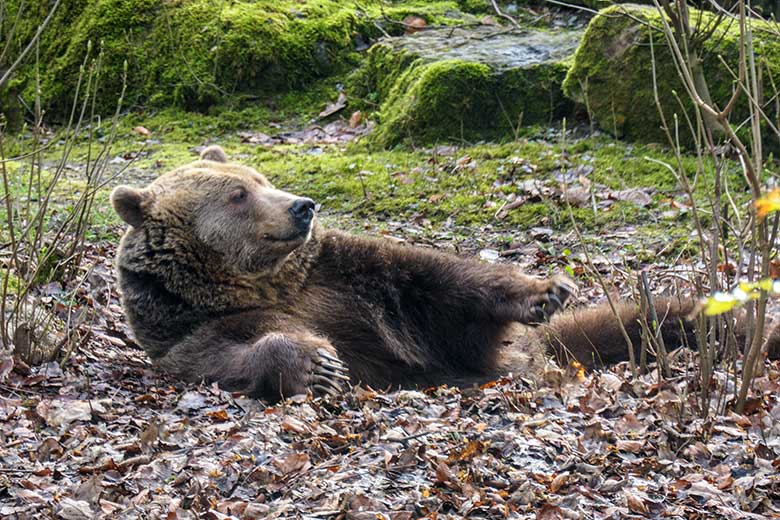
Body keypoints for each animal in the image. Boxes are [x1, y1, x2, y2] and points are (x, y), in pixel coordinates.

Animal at [108, 146, 748, 402]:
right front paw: (317, 364)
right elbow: (231, 357)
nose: (302, 206)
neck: (264, 281)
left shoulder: (343, 273)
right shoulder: (193, 330)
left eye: (261, 178)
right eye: (238, 194)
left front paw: (542, 290)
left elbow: (436, 279)